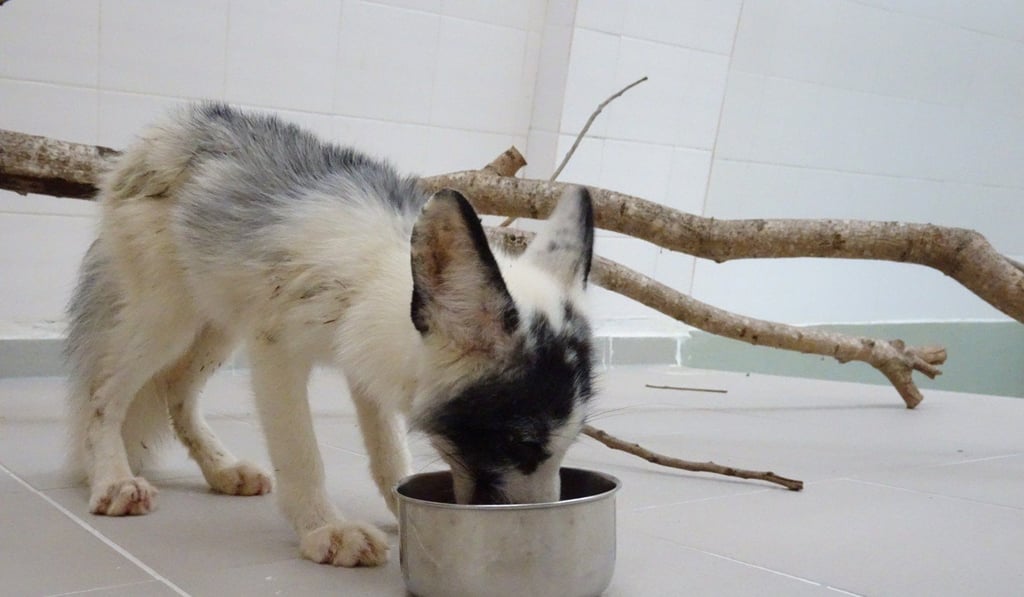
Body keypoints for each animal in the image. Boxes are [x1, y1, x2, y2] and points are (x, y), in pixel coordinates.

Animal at [65, 103, 596, 567]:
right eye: (520, 443)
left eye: (568, 444)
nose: (539, 545)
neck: (374, 275)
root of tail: (166, 128)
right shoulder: (275, 351)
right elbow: (302, 457)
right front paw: (326, 530)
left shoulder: (366, 367)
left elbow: (389, 457)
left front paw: (399, 508)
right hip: (170, 321)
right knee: (103, 393)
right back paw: (112, 480)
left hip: (219, 325)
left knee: (177, 393)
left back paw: (222, 470)